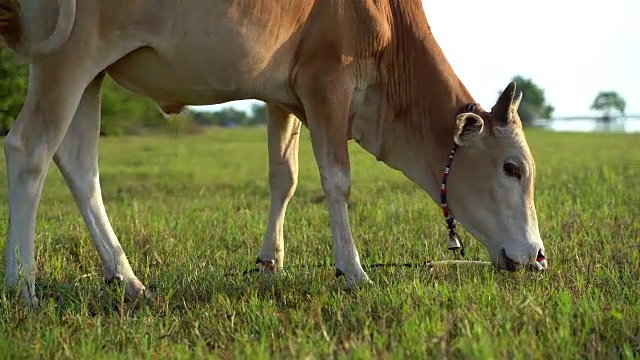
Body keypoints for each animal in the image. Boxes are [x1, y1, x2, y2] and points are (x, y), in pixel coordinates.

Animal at [2, 0, 548, 306]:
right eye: (512, 168)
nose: (539, 257)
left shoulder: (284, 96)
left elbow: (284, 176)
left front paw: (270, 262)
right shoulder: (328, 81)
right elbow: (337, 179)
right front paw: (352, 271)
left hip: (91, 72)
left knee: (78, 163)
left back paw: (128, 280)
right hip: (68, 55)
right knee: (29, 149)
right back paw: (21, 287)